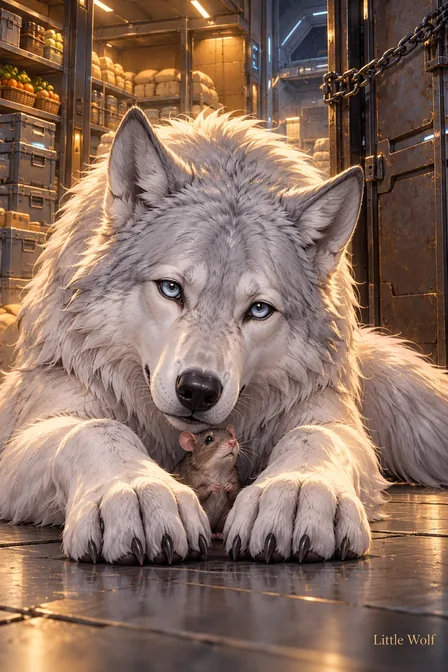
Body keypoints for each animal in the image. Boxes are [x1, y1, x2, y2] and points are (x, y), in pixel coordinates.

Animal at [0, 108, 447, 566]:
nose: (198, 390)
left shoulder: (325, 413)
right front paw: (139, 490)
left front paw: (296, 490)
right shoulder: (33, 428)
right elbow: (97, 430)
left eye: (259, 309)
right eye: (171, 288)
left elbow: (314, 436)